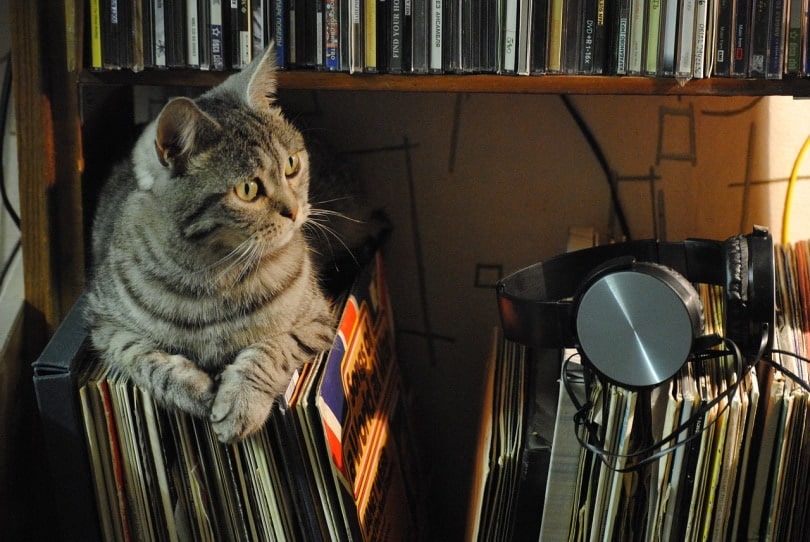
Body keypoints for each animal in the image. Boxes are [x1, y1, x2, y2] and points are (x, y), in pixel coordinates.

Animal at [85, 46, 376, 444]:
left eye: (291, 164)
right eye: (248, 189)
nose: (295, 210)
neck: (214, 271)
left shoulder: (317, 320)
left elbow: (269, 350)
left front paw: (241, 402)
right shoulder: (104, 325)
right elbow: (145, 358)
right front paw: (191, 388)